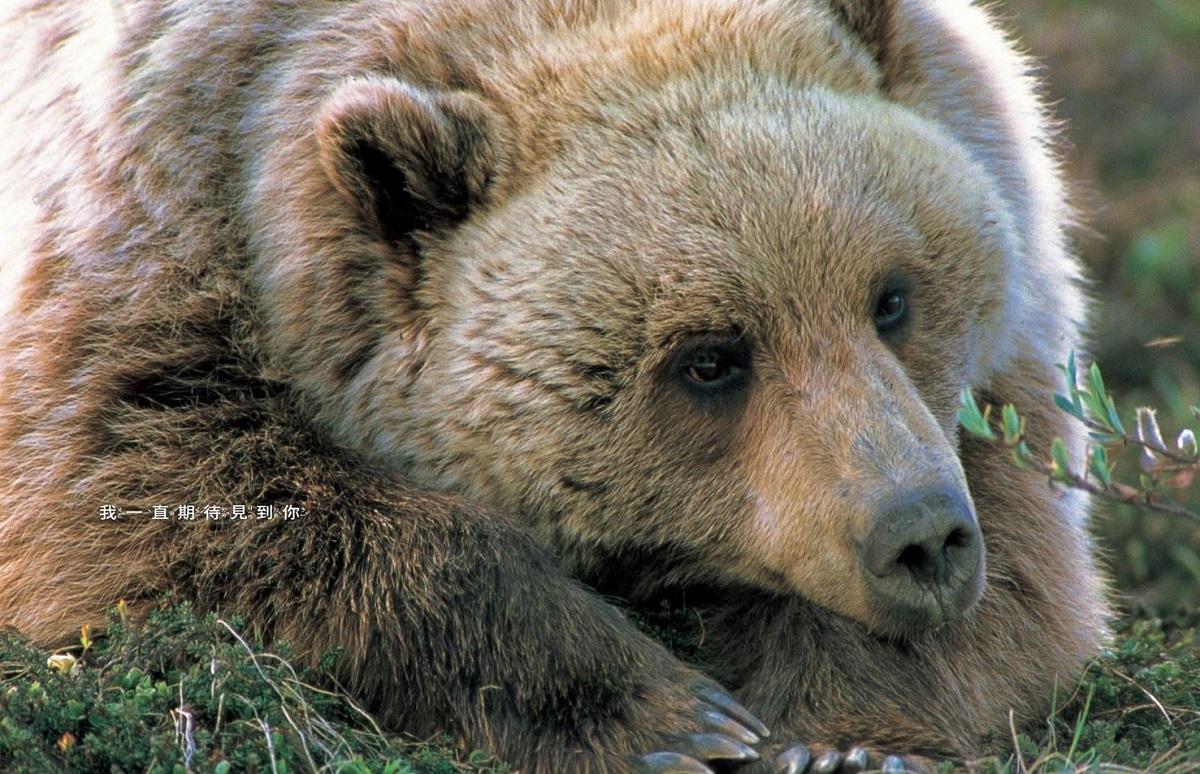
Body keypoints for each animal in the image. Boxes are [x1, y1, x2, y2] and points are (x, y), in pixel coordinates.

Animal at [0, 0, 1110, 771]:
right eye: (710, 356)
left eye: (891, 297)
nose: (920, 537)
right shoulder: (145, 231)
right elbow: (147, 509)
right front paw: (672, 716)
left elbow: (1026, 562)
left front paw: (846, 735)